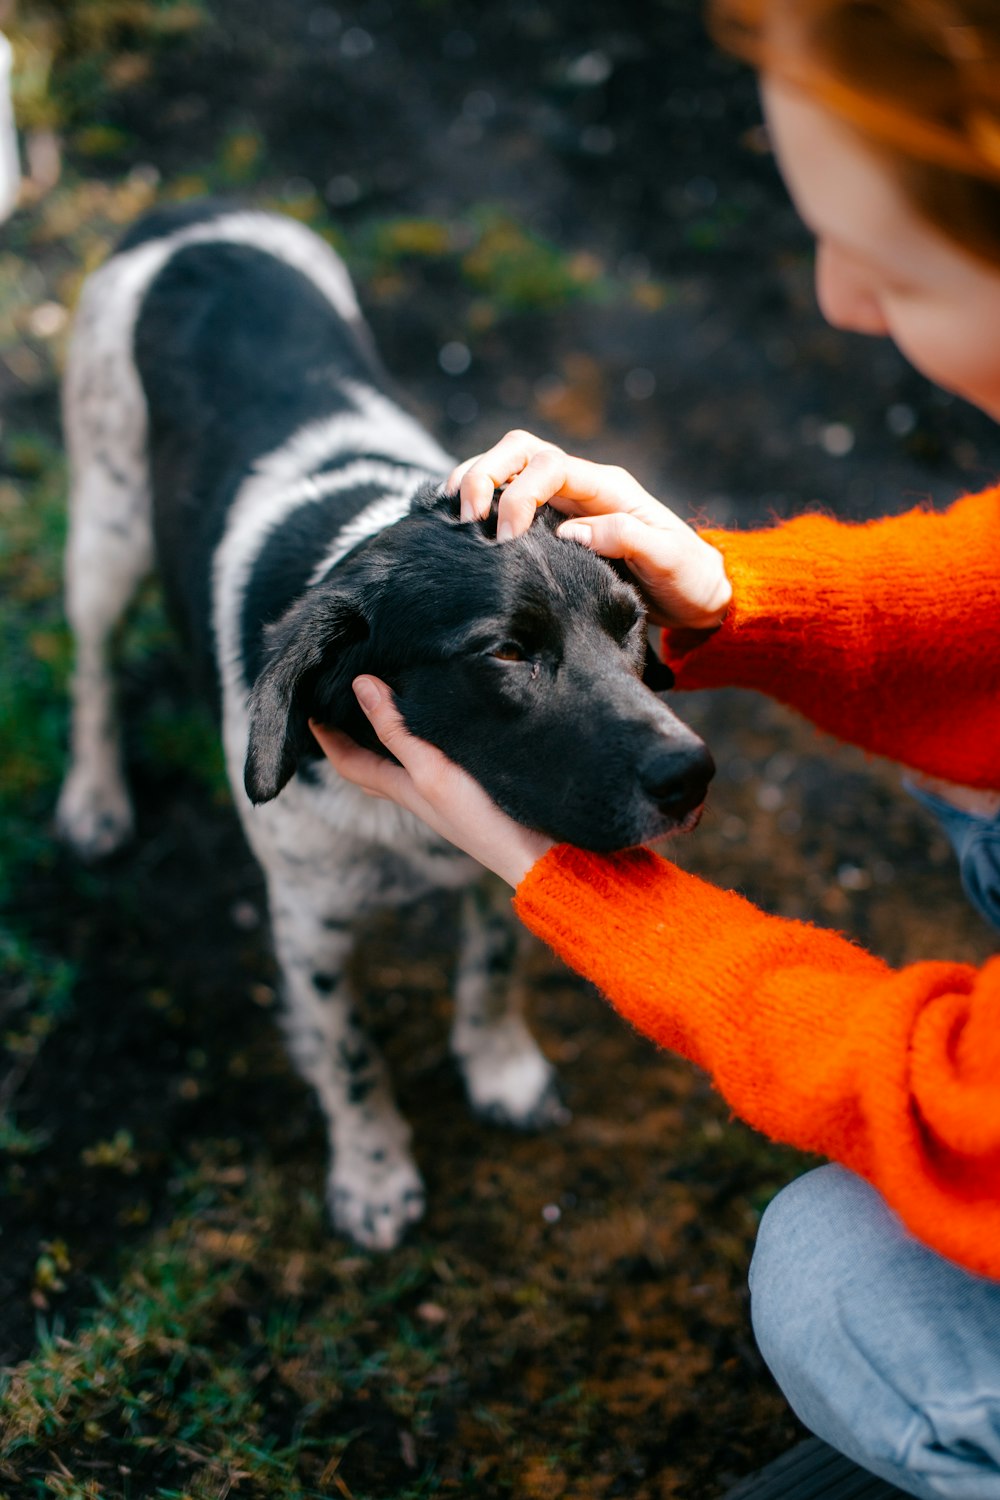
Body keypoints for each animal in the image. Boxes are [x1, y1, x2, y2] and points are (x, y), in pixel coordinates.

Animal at [54, 205, 716, 1248]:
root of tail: (186, 219)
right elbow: (350, 1057)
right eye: (505, 654)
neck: (409, 833)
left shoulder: (492, 871)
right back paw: (94, 797)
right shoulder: (309, 923)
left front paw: (500, 1071)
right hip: (106, 531)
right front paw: (373, 1176)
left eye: (631, 625)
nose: (693, 775)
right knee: (90, 671)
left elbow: (491, 972)